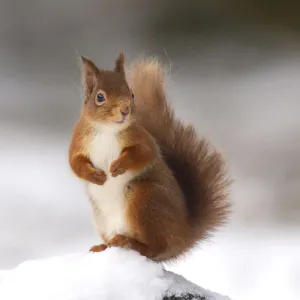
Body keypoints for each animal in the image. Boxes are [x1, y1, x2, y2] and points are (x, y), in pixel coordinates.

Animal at [69, 52, 231, 262]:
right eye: (100, 97)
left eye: (131, 94)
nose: (125, 110)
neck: (107, 130)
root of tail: (183, 236)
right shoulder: (78, 142)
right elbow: (75, 163)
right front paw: (94, 175)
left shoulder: (143, 138)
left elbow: (145, 153)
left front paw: (119, 166)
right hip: (103, 217)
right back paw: (104, 246)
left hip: (145, 200)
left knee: (154, 248)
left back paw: (128, 242)